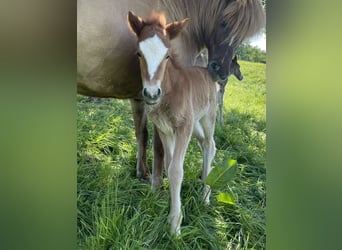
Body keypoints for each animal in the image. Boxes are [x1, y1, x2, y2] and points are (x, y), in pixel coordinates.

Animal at [77, 0, 264, 188]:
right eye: (224, 23)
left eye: (242, 37)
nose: (221, 71)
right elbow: (160, 147)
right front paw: (157, 185)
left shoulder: (140, 98)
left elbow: (142, 134)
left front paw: (143, 173)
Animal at [127, 9, 218, 235]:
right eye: (139, 53)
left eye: (167, 55)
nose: (151, 93)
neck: (169, 92)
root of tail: (206, 71)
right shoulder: (165, 129)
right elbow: (168, 165)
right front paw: (166, 204)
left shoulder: (183, 127)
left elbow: (176, 171)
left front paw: (175, 224)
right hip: (195, 123)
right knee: (208, 145)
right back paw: (204, 180)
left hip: (207, 117)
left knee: (209, 144)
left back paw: (205, 194)